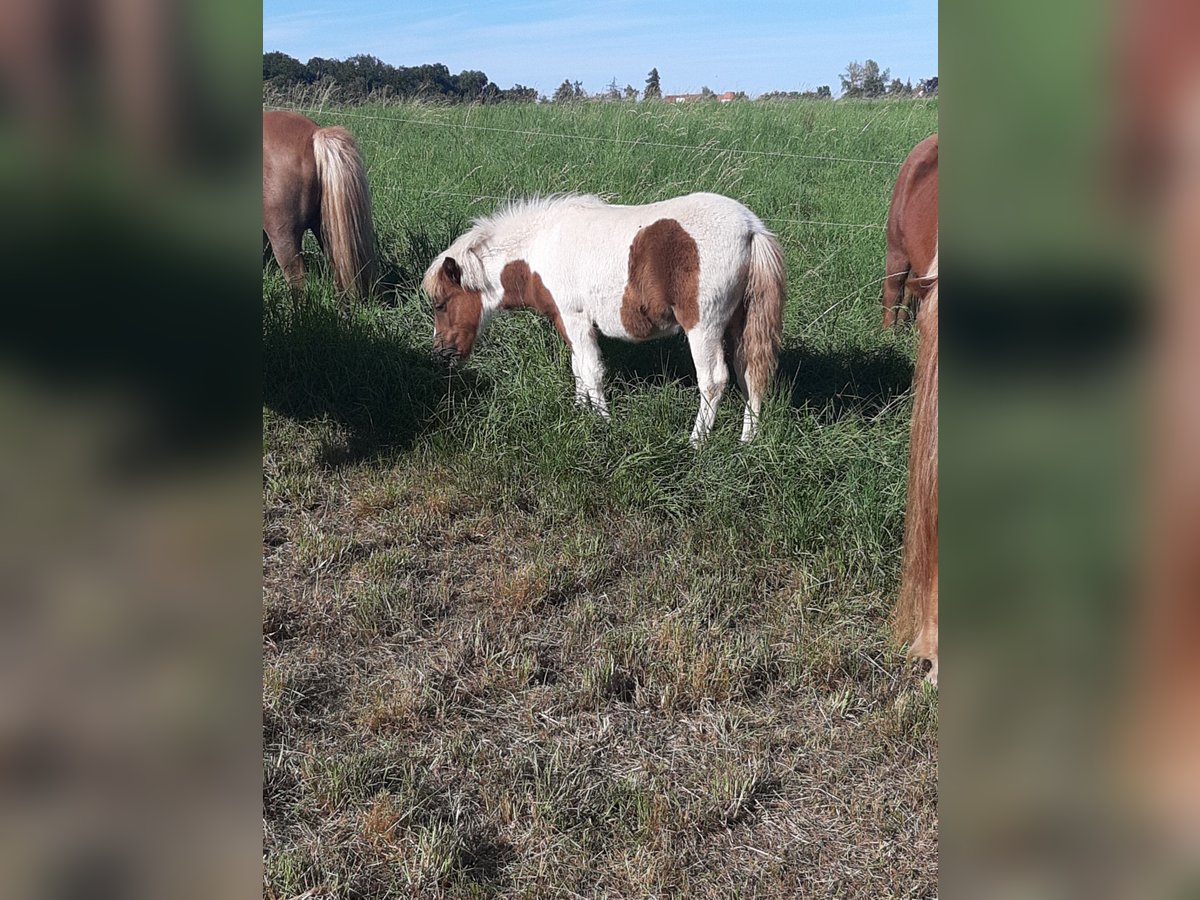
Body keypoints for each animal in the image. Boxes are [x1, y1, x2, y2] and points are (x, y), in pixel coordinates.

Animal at [423, 193, 785, 445]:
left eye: (440, 304)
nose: (441, 354)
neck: (540, 247)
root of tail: (751, 229)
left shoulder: (575, 319)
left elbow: (592, 371)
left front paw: (603, 424)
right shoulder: (567, 323)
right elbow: (579, 370)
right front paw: (580, 412)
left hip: (703, 326)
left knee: (714, 380)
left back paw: (696, 443)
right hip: (740, 324)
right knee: (750, 373)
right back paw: (747, 441)